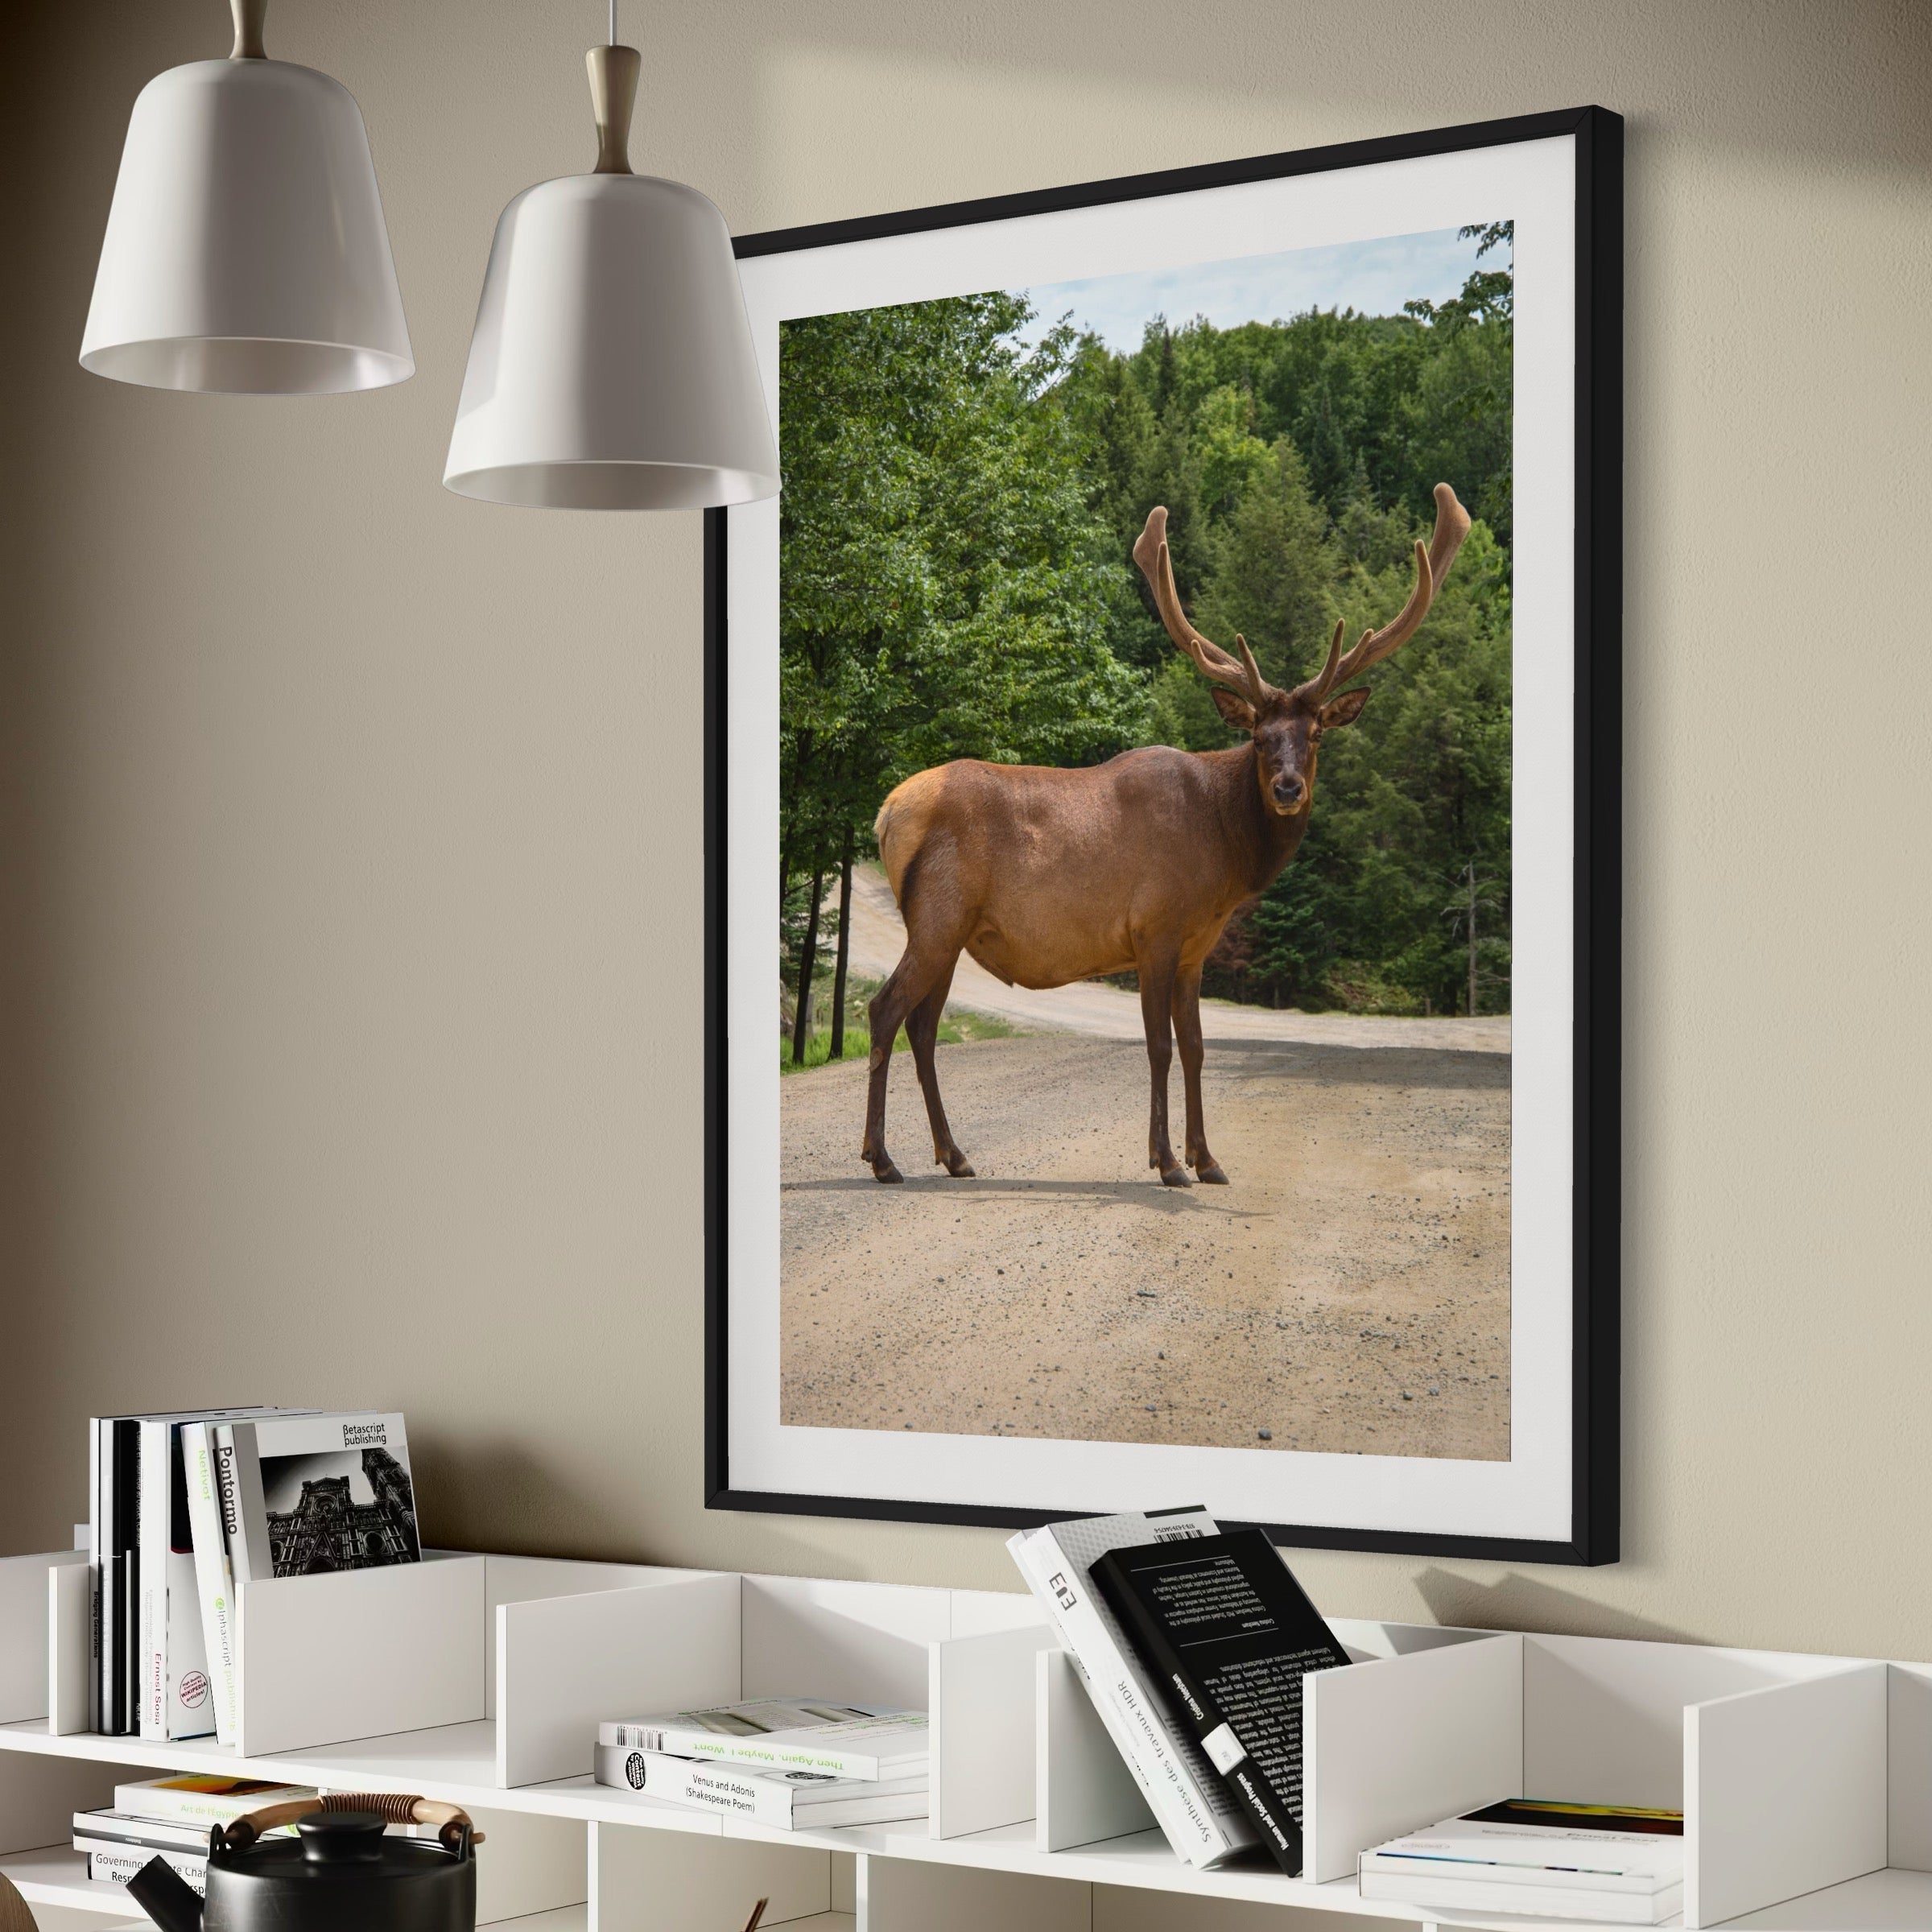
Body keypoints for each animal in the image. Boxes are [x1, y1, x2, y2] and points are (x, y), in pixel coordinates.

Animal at [860, 483, 1472, 1187]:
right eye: (1259, 737)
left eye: (1315, 735)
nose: (1288, 788)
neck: (1226, 856)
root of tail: (886, 813)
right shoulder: (1154, 927)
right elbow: (1158, 1047)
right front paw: (1168, 1161)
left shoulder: (1196, 948)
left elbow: (1199, 1046)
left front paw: (1209, 1159)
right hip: (938, 914)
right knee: (886, 1010)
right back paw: (882, 1158)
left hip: (949, 929)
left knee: (923, 1026)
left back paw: (955, 1155)